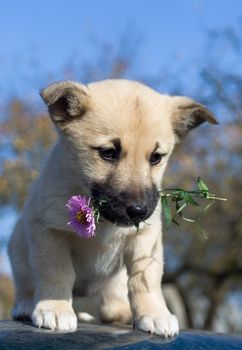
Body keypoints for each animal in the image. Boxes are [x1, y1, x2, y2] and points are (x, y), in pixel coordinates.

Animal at [8, 79, 217, 336]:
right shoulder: (49, 231)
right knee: (26, 285)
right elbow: (56, 272)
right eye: (108, 153)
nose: (138, 211)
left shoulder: (146, 238)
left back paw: (122, 313)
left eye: (156, 157)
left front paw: (154, 313)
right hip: (18, 248)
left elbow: (145, 279)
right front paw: (55, 308)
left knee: (111, 305)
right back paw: (27, 305)